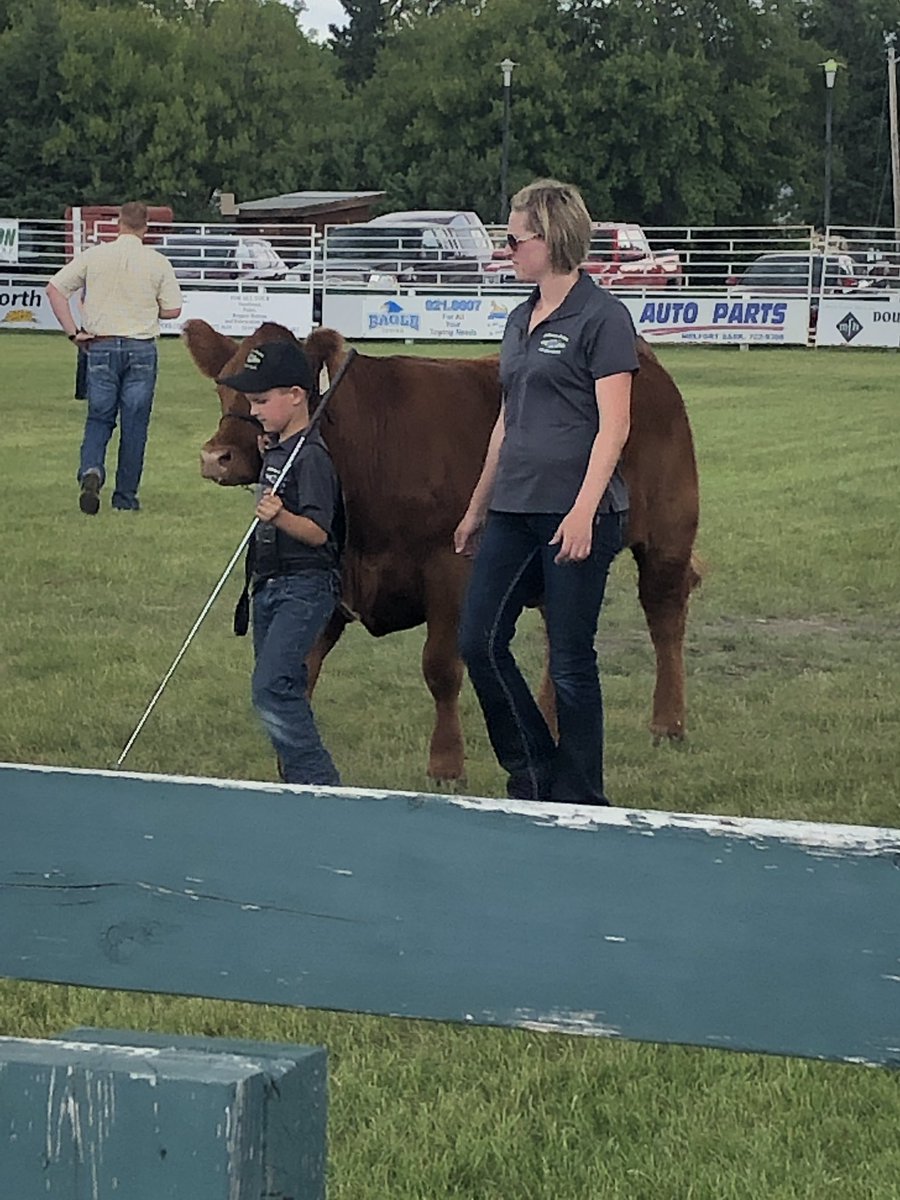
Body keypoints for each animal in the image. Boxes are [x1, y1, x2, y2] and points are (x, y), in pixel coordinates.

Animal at [184, 320, 700, 782]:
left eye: (268, 393)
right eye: (222, 390)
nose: (215, 457)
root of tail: (645, 360)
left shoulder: (450, 570)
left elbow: (440, 668)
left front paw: (446, 765)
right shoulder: (331, 572)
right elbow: (300, 666)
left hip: (669, 533)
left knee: (665, 619)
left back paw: (668, 724)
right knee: (562, 635)